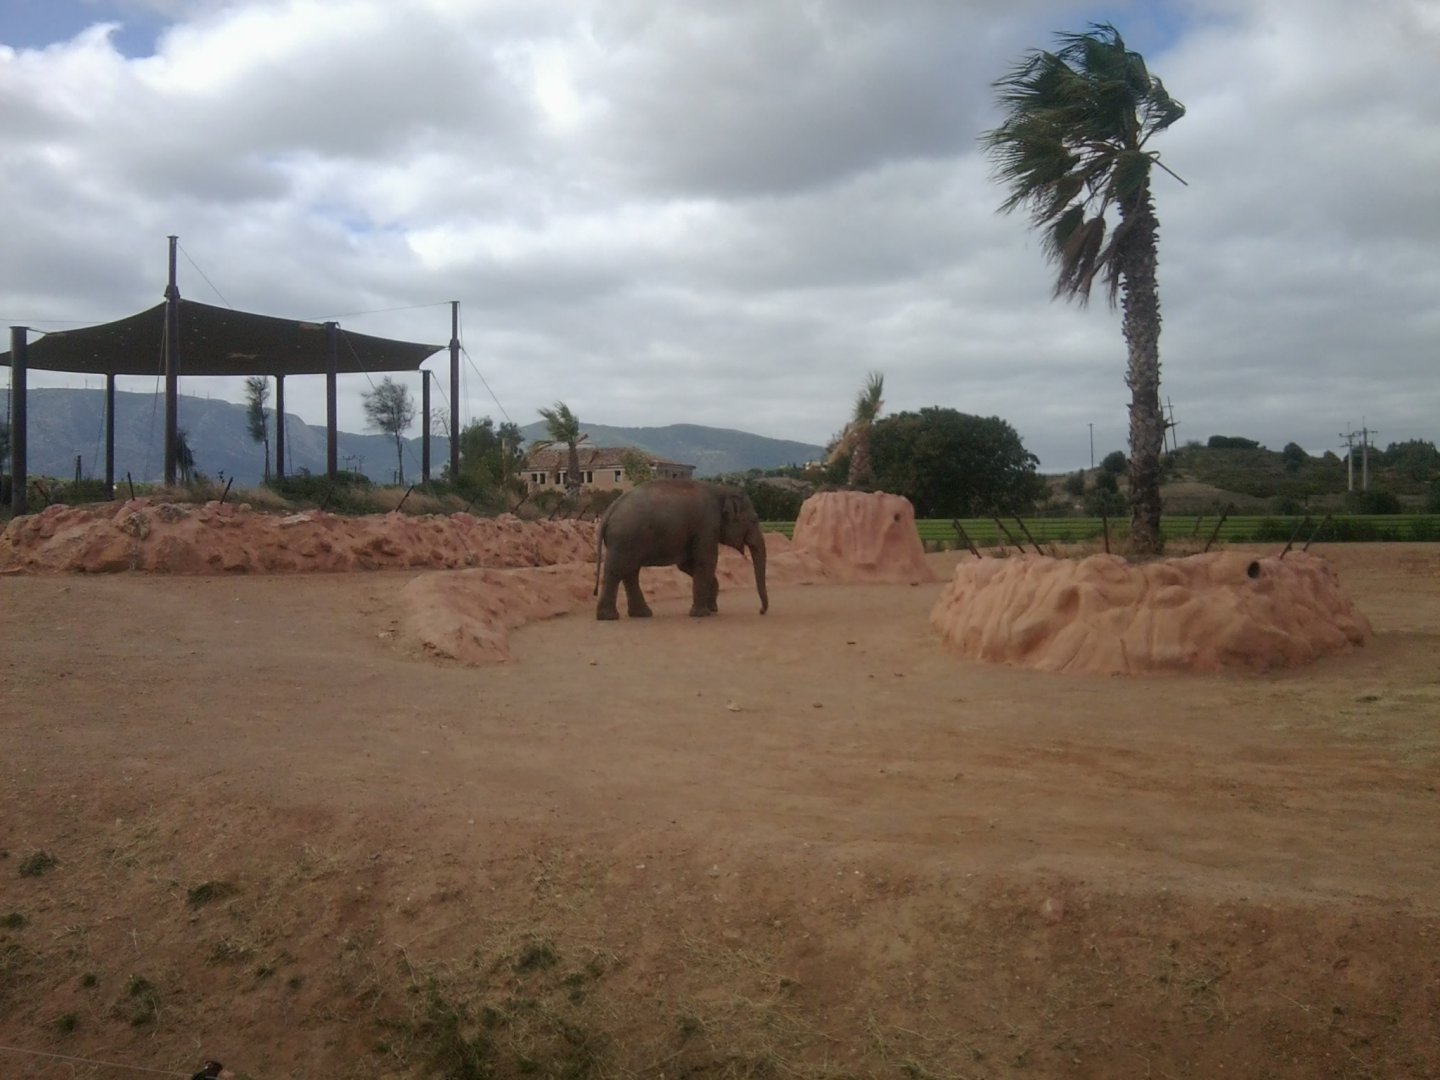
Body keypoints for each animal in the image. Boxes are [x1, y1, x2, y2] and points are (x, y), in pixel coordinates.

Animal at [593, 479, 769, 620]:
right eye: (754, 520)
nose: (761, 611)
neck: (721, 489)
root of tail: (609, 511)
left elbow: (686, 565)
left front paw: (711, 608)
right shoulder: (707, 525)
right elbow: (707, 560)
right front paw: (702, 614)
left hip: (628, 541)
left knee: (630, 571)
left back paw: (641, 614)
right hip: (625, 539)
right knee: (617, 570)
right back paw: (609, 617)